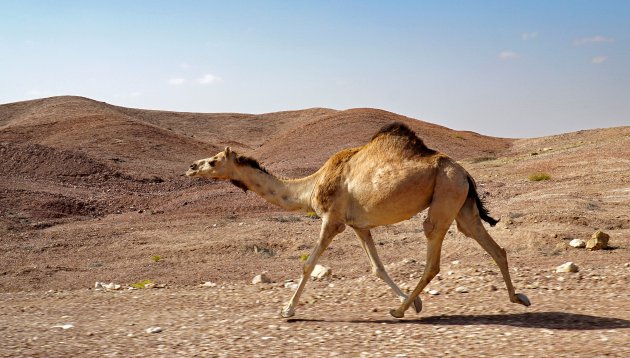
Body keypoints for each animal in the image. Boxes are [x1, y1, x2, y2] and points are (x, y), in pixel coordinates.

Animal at [188, 121, 532, 318]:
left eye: (214, 161)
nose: (191, 166)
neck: (311, 185)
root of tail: (465, 173)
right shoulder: (359, 226)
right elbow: (377, 267)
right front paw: (416, 304)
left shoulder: (332, 219)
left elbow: (308, 264)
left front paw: (287, 309)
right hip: (462, 204)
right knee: (492, 246)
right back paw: (519, 298)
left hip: (445, 194)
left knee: (433, 254)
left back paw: (397, 311)